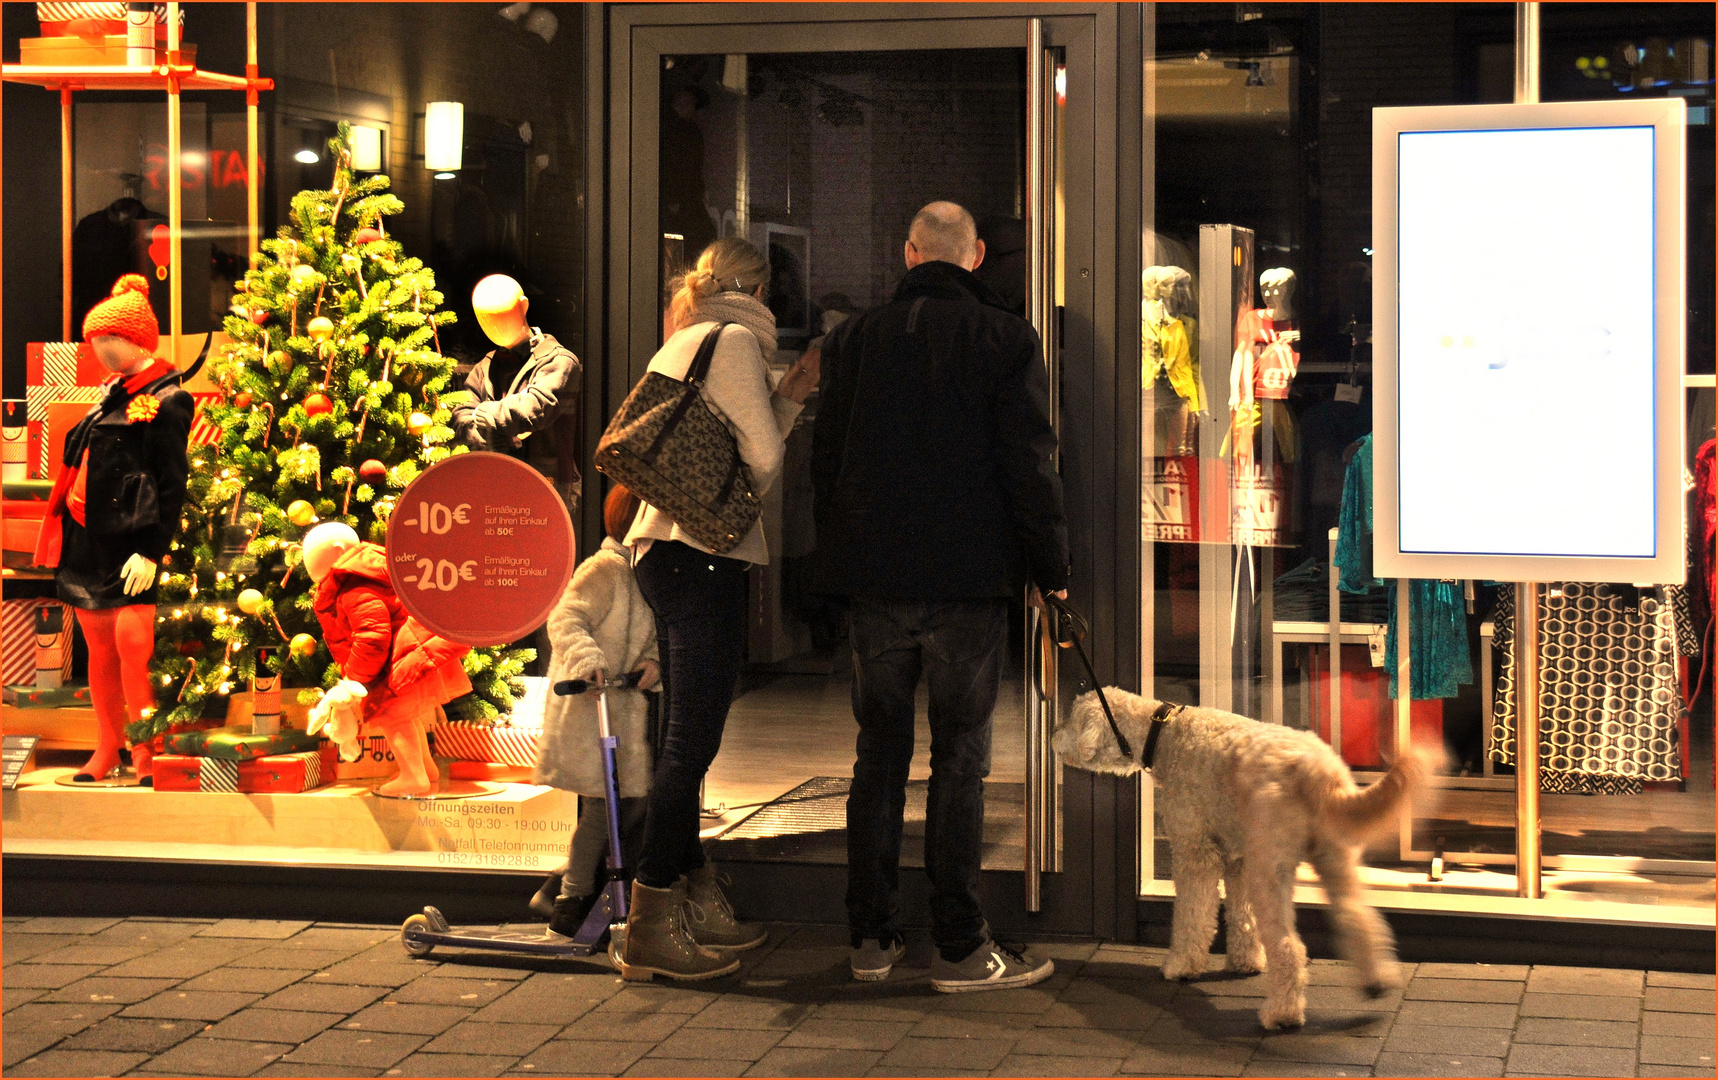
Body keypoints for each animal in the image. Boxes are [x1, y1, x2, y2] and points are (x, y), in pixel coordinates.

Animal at [1051, 686, 1443, 1030]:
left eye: (1071, 716)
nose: (1053, 733)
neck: (1164, 734)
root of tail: (1316, 770)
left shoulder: (1195, 852)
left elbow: (1193, 916)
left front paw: (1181, 965)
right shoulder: (1238, 859)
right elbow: (1241, 918)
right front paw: (1246, 962)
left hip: (1271, 870)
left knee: (1289, 948)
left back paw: (1281, 1015)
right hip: (1333, 860)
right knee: (1358, 918)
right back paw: (1376, 981)